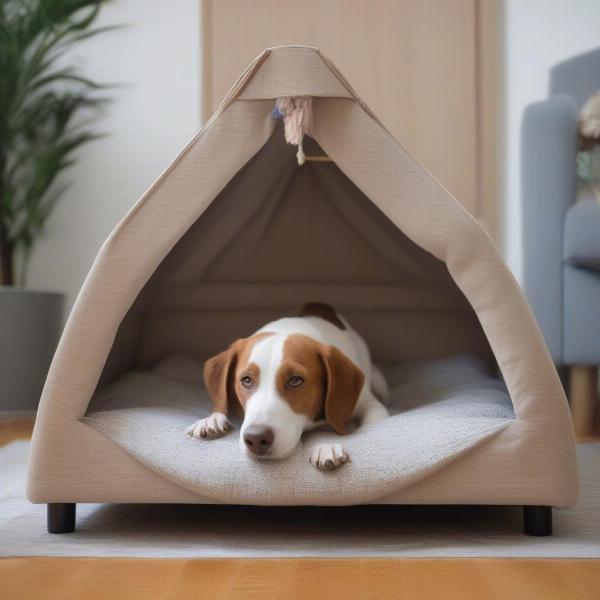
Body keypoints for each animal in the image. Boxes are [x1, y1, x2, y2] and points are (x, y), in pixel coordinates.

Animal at [185, 304, 390, 468]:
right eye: (246, 380)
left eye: (295, 380)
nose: (256, 439)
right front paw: (211, 419)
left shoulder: (370, 404)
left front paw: (327, 445)